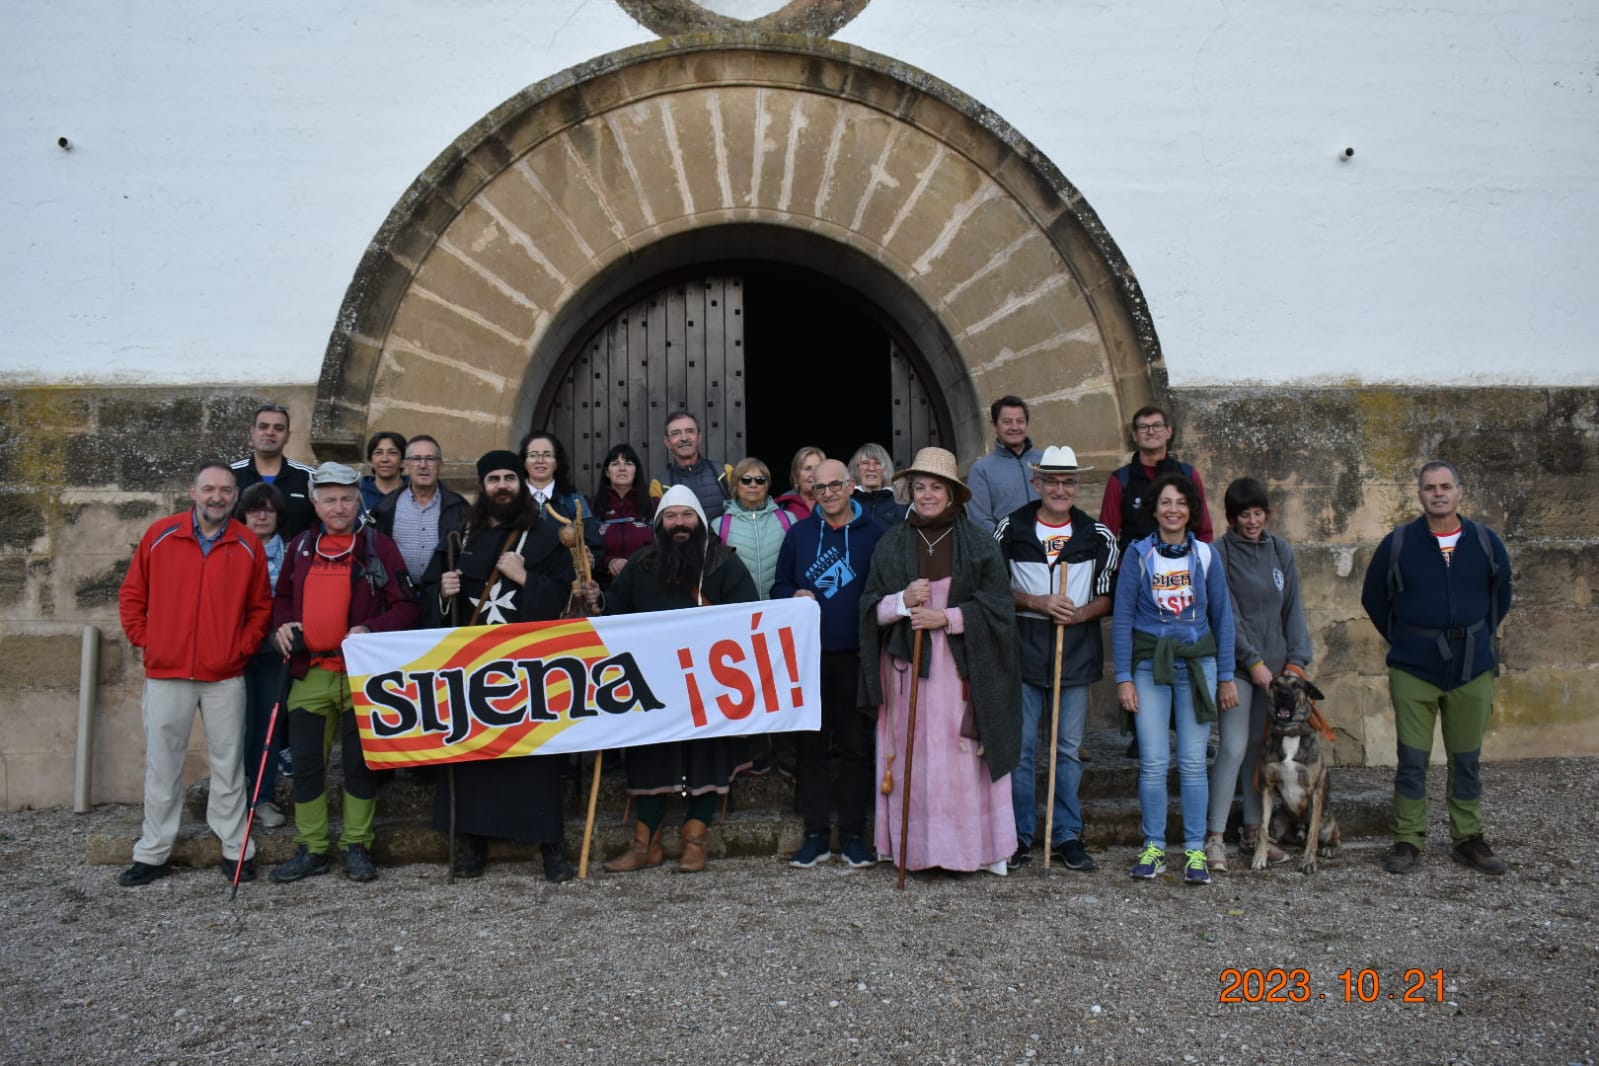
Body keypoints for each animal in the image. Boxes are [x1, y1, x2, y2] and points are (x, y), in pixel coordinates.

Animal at [1247, 674, 1336, 875]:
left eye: (1296, 685)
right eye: (1276, 684)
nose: (1283, 694)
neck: (1289, 733)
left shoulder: (1315, 791)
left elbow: (1313, 835)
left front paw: (1308, 862)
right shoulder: (1267, 787)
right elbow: (1262, 829)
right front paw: (1260, 857)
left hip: (1329, 822)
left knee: (1329, 837)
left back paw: (1328, 848)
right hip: (1278, 821)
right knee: (1276, 835)